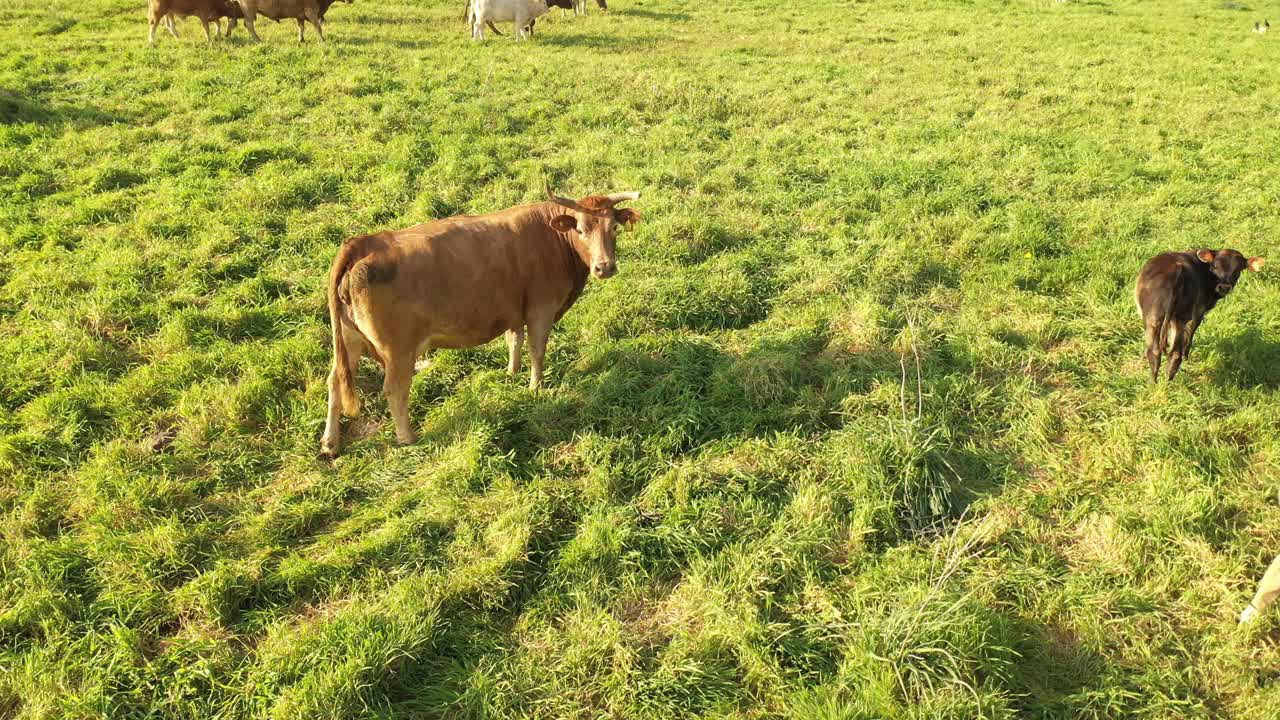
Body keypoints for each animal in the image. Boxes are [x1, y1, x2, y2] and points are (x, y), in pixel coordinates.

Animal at [320, 183, 640, 453]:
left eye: (613, 227)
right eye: (581, 230)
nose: (604, 267)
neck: (552, 238)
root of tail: (363, 243)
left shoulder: (515, 309)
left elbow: (514, 340)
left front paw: (511, 373)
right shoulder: (541, 309)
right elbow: (537, 350)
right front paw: (536, 387)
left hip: (349, 338)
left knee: (334, 380)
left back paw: (330, 442)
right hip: (397, 350)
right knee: (394, 389)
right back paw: (408, 437)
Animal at [1136, 248, 1264, 381]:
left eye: (1237, 270)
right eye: (1216, 266)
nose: (1224, 287)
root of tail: (1178, 269)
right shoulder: (1199, 311)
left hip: (1165, 318)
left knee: (1163, 351)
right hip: (1167, 317)